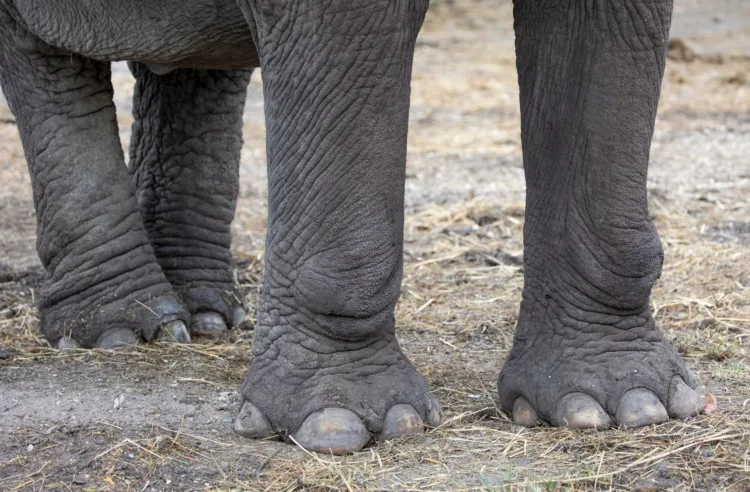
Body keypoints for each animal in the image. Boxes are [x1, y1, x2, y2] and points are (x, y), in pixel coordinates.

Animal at [0, 0, 708, 454]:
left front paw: (629, 409)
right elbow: (347, 30)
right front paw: (347, 427)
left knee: (194, 62)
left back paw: (200, 319)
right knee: (43, 57)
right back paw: (121, 332)